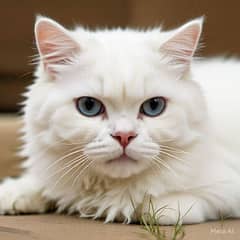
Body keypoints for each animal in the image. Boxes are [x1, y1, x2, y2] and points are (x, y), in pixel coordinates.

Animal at [0, 16, 240, 225]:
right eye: (89, 106)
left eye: (154, 106)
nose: (124, 136)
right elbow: (43, 183)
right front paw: (15, 193)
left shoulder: (227, 187)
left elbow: (163, 206)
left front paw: (141, 207)